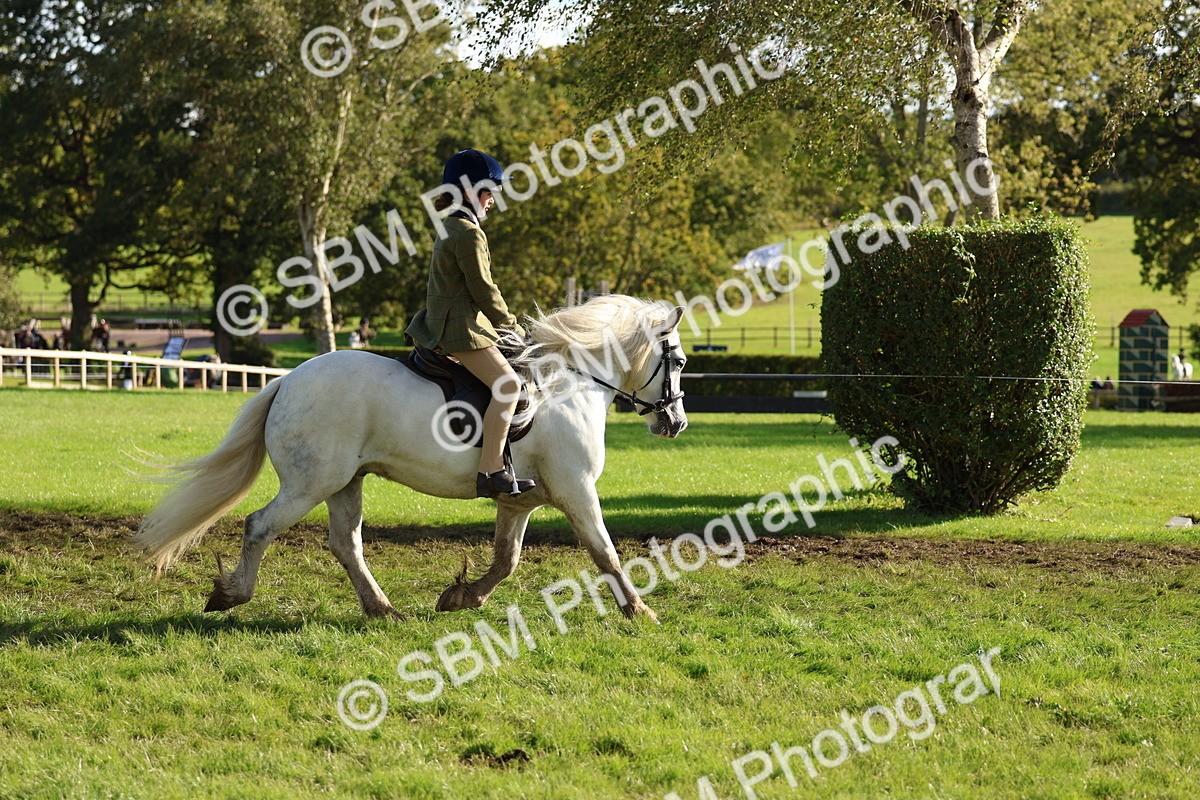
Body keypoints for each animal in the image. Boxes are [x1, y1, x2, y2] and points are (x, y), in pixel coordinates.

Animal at [134, 296, 689, 622]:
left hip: (345, 482)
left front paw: (463, 597)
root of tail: (287, 380)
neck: (568, 383)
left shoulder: (519, 501)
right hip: (311, 484)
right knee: (260, 526)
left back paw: (382, 609)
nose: (676, 423)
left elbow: (506, 560)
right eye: (680, 361)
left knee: (346, 543)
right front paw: (639, 611)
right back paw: (233, 594)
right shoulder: (577, 489)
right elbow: (606, 553)